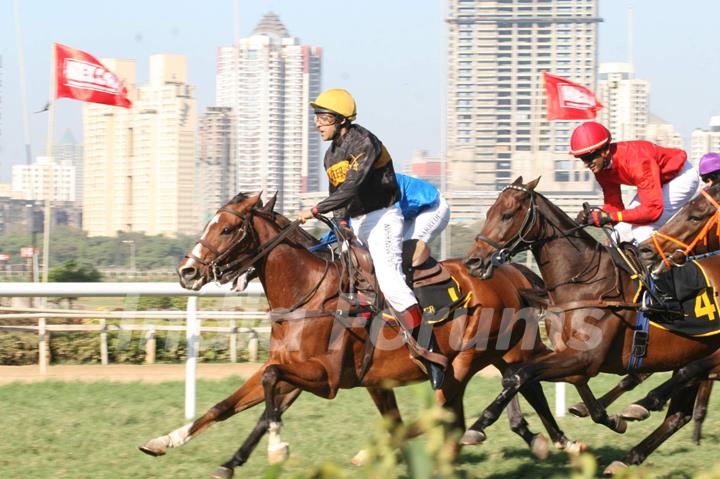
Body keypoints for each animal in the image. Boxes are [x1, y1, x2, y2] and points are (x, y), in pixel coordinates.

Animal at [141, 192, 580, 479]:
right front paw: (168, 441)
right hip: (490, 357)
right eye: (210, 224)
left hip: (471, 358)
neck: (308, 293)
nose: (187, 271)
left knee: (482, 397)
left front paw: (278, 448)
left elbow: (268, 391)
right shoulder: (296, 370)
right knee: (511, 388)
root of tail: (510, 270)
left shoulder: (327, 379)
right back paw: (547, 440)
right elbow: (231, 405)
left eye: (229, 228)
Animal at [462, 178, 720, 474]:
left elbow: (520, 375)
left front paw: (480, 425)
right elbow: (520, 375)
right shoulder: (569, 355)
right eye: (488, 212)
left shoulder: (585, 357)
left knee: (686, 382)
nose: (473, 262)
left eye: (507, 214)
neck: (586, 283)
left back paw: (644, 405)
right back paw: (627, 454)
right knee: (678, 414)